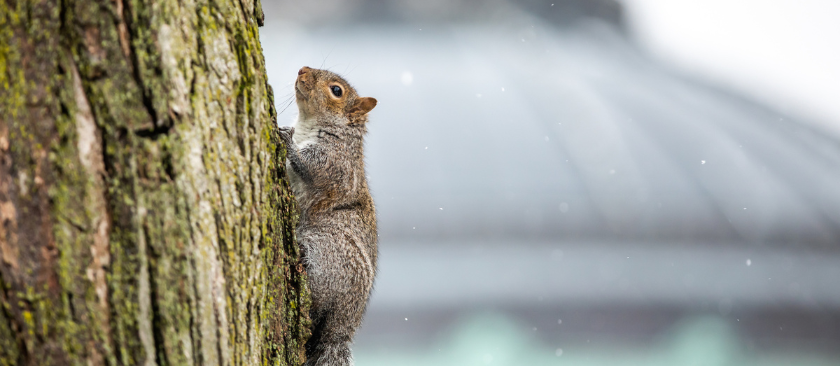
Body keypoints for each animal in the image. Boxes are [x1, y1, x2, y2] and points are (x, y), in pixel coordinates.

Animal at [278, 66, 378, 366]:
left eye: (336, 91)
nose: (303, 69)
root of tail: (344, 323)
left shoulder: (334, 164)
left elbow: (307, 166)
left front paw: (286, 141)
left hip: (327, 251)